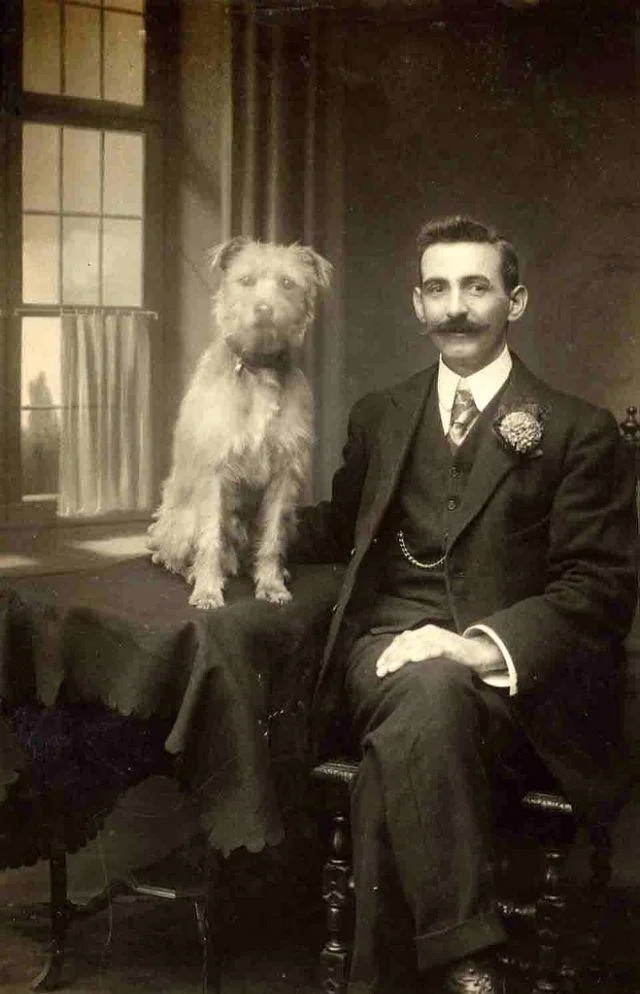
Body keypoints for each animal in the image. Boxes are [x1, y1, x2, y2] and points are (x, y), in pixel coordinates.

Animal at [147, 237, 332, 609]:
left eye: (287, 283)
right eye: (245, 281)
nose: (263, 310)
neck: (258, 369)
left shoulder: (284, 476)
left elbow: (271, 538)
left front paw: (271, 584)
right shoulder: (214, 473)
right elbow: (209, 537)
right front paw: (207, 590)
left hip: (289, 518)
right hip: (180, 520)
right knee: (176, 552)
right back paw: (190, 570)